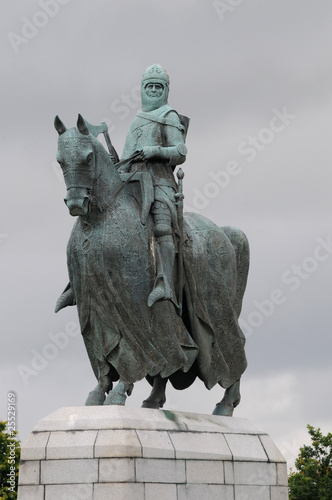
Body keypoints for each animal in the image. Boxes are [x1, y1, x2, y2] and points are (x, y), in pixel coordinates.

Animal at [54, 115, 249, 416]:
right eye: (60, 160)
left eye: (88, 157)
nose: (76, 203)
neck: (102, 216)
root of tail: (226, 234)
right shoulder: (92, 305)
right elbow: (103, 353)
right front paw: (99, 392)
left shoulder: (132, 304)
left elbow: (141, 347)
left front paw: (120, 390)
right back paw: (154, 399)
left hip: (217, 303)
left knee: (234, 342)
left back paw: (226, 404)